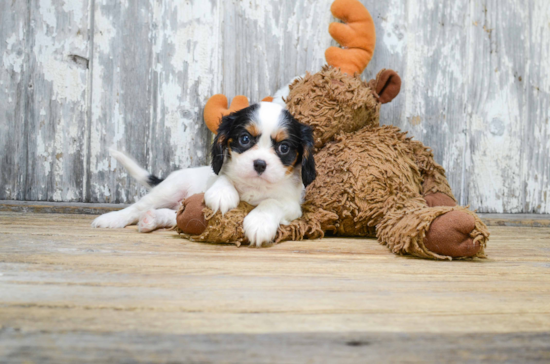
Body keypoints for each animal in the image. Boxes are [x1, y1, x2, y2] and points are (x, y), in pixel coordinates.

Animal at [207, 101, 316, 246]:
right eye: (245, 139)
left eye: (284, 148)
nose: (260, 164)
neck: (256, 186)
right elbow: (223, 176)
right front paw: (221, 193)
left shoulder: (293, 206)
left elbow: (272, 202)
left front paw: (259, 221)